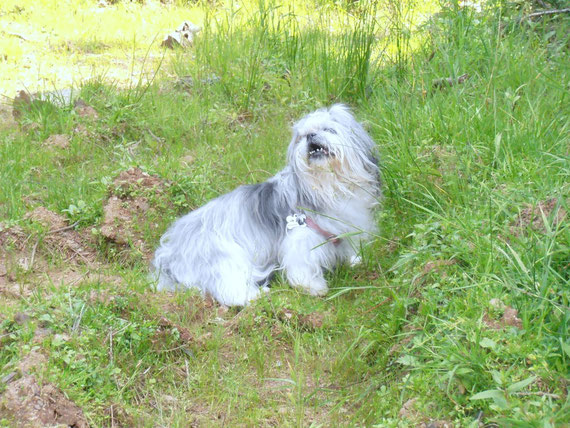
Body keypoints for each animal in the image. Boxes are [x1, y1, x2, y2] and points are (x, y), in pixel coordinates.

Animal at [153, 105, 380, 306]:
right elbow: (303, 267)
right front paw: (313, 287)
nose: (311, 136)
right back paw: (257, 295)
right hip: (225, 257)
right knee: (230, 291)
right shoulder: (300, 236)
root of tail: (169, 252)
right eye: (301, 136)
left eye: (328, 129)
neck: (326, 185)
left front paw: (354, 260)